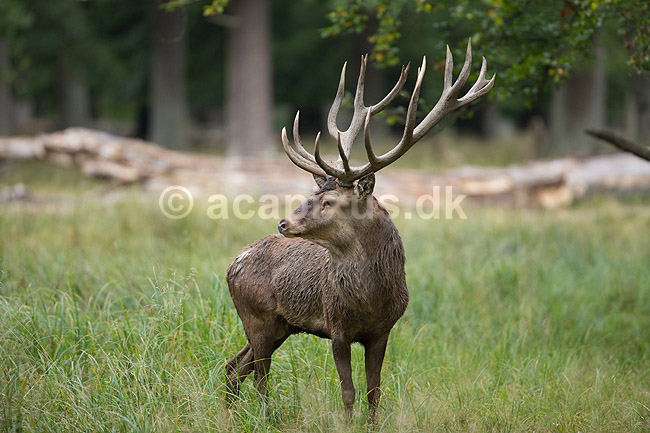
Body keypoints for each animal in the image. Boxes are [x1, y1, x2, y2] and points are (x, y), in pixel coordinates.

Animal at [224, 39, 495, 422]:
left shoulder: (382, 331)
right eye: (312, 194)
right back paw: (265, 417)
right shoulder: (337, 326)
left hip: (279, 325)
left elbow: (374, 390)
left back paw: (230, 413)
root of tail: (232, 264)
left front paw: (372, 424)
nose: (283, 222)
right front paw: (347, 424)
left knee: (236, 367)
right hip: (257, 316)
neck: (370, 299)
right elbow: (348, 391)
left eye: (328, 201)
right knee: (258, 373)